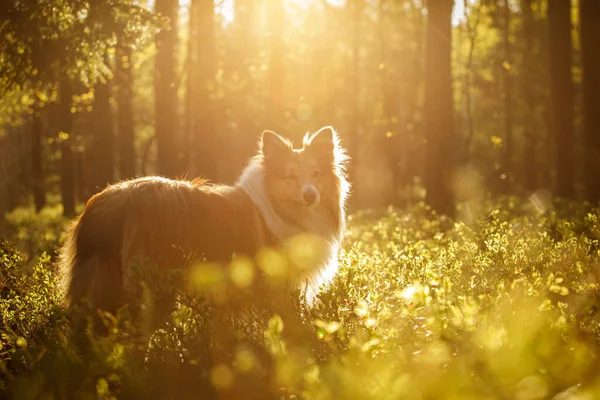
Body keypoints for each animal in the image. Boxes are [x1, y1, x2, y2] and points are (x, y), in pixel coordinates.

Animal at [58, 126, 350, 326]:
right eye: (290, 176)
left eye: (316, 174)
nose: (311, 195)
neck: (285, 210)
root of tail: (106, 203)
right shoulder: (278, 288)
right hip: (151, 285)